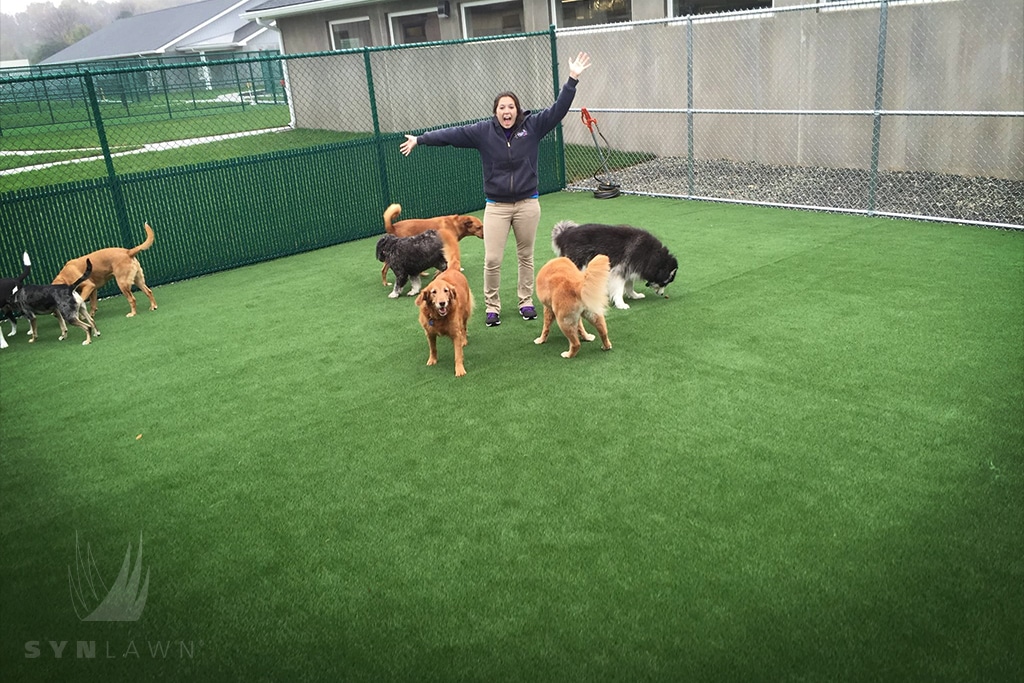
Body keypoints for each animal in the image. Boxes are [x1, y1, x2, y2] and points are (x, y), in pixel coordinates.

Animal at [413, 236, 473, 378]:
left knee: (464, 327)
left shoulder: (455, 333)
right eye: (433, 292)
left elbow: (458, 353)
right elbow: (433, 348)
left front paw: (459, 369)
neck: (438, 317)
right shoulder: (429, 333)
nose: (442, 303)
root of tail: (452, 269)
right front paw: (432, 360)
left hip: (465, 312)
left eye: (446, 291)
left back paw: (464, 340)